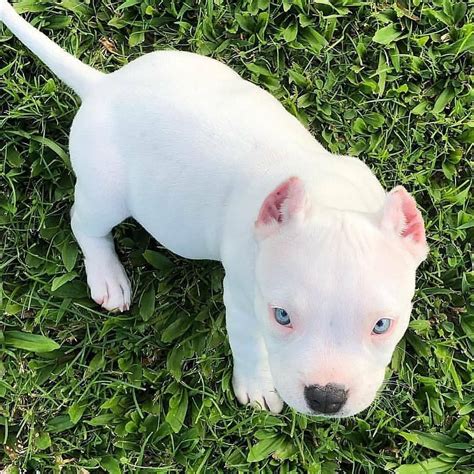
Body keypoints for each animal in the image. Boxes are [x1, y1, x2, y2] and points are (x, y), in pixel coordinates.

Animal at [0, 1, 430, 416]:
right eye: (282, 316)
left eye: (382, 325)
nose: (326, 398)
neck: (327, 196)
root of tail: (103, 86)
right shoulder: (242, 300)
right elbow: (249, 345)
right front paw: (257, 387)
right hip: (106, 190)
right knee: (85, 223)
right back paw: (107, 275)